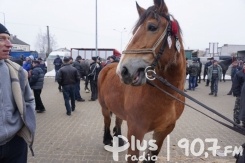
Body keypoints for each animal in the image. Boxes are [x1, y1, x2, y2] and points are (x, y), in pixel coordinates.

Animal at [97, 0, 186, 162]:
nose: (123, 71)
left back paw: (119, 139)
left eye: (152, 27)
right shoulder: (136, 131)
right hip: (104, 107)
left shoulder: (162, 132)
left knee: (118, 119)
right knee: (107, 120)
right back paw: (107, 140)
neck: (167, 98)